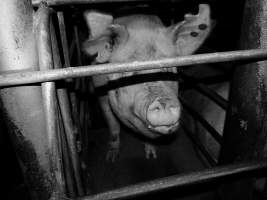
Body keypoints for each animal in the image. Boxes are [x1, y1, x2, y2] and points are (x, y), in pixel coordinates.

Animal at [84, 3, 214, 162]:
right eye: (127, 72)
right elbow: (113, 125)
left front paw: (151, 157)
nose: (163, 101)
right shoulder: (101, 95)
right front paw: (111, 158)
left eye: (167, 68)